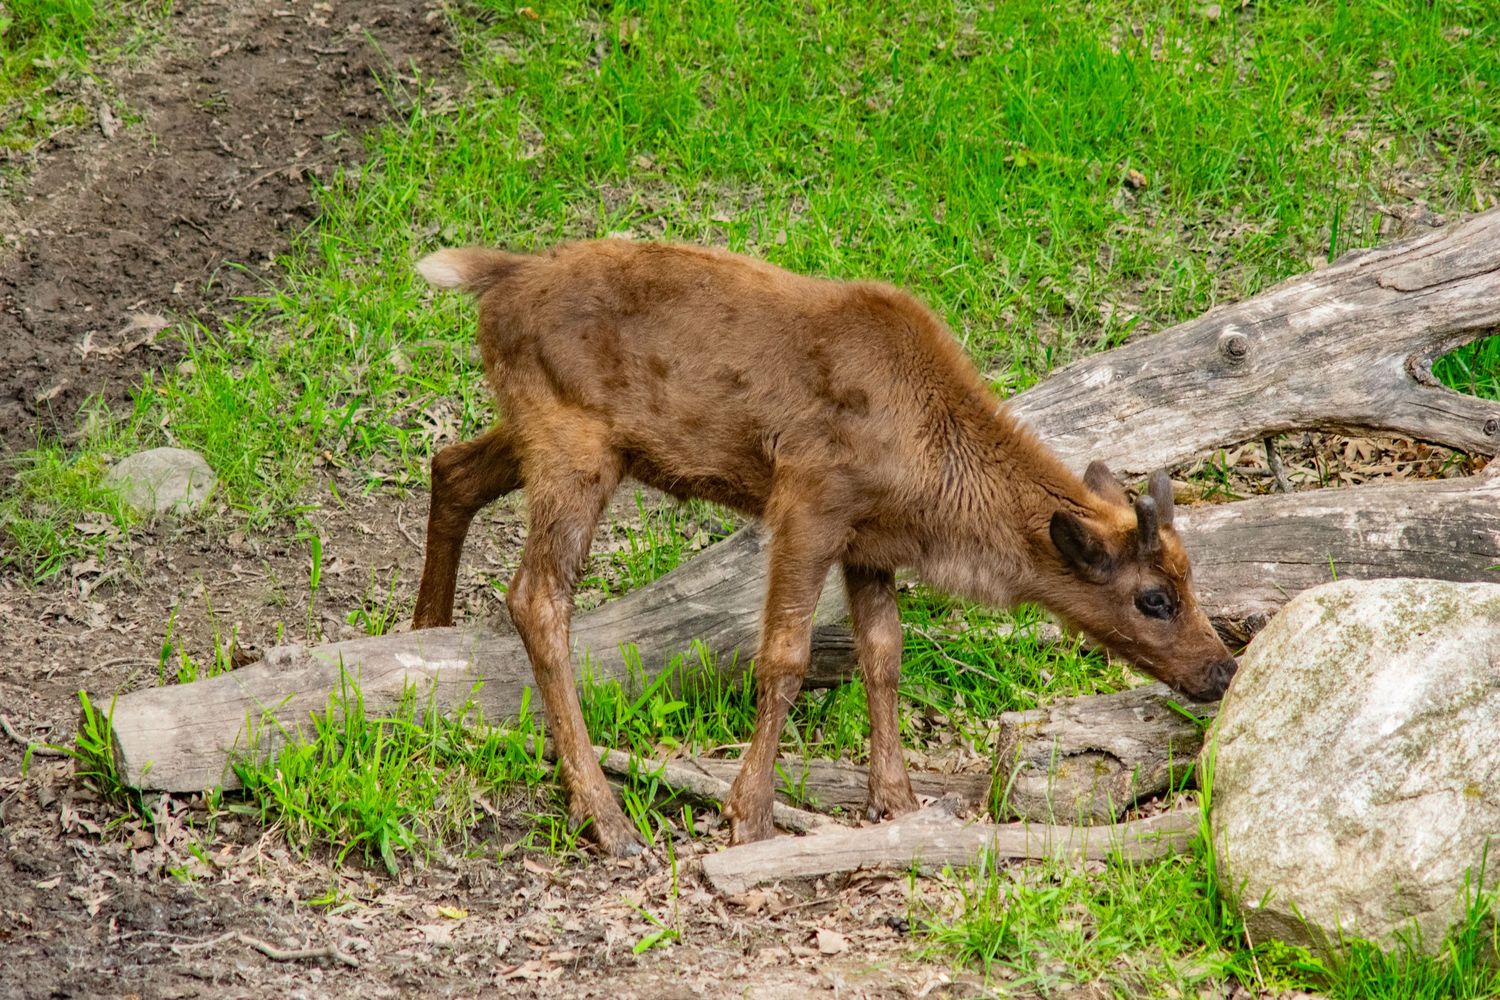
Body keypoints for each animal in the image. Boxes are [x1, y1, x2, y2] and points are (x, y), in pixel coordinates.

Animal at [410, 239, 1238, 857]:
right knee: (537, 597)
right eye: (1153, 598)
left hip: (547, 434)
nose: (1223, 668)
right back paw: (607, 819)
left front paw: (897, 799)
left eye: (1192, 578)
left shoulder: (871, 545)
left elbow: (884, 654)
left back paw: (424, 633)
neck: (935, 474)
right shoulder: (809, 503)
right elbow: (785, 657)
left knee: (451, 467)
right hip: (574, 446)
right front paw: (748, 814)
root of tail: (500, 280)